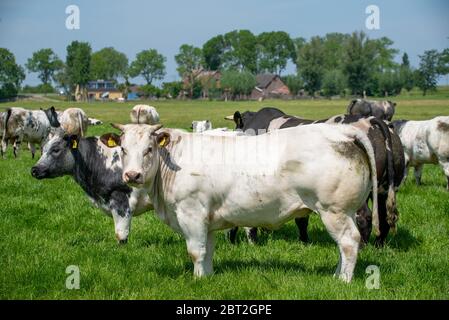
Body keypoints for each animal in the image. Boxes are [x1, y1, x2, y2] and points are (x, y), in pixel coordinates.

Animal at [226, 107, 404, 245]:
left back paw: (363, 246)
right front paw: (304, 241)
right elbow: (301, 219)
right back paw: (378, 245)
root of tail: (371, 120)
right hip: (385, 189)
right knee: (383, 219)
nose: (231, 240)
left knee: (364, 217)